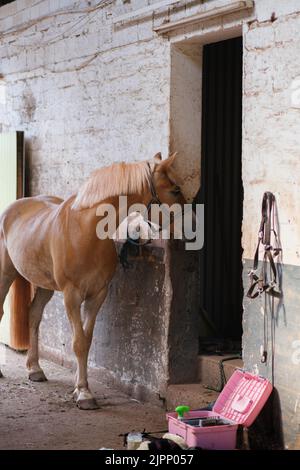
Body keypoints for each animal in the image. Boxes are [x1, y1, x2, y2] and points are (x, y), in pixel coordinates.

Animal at [0, 152, 185, 410]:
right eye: (176, 189)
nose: (194, 222)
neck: (85, 231)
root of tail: (13, 207)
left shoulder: (97, 294)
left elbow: (86, 341)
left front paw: (81, 389)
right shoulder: (71, 296)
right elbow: (77, 342)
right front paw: (84, 393)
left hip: (45, 286)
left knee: (34, 314)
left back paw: (35, 369)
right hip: (5, 275)